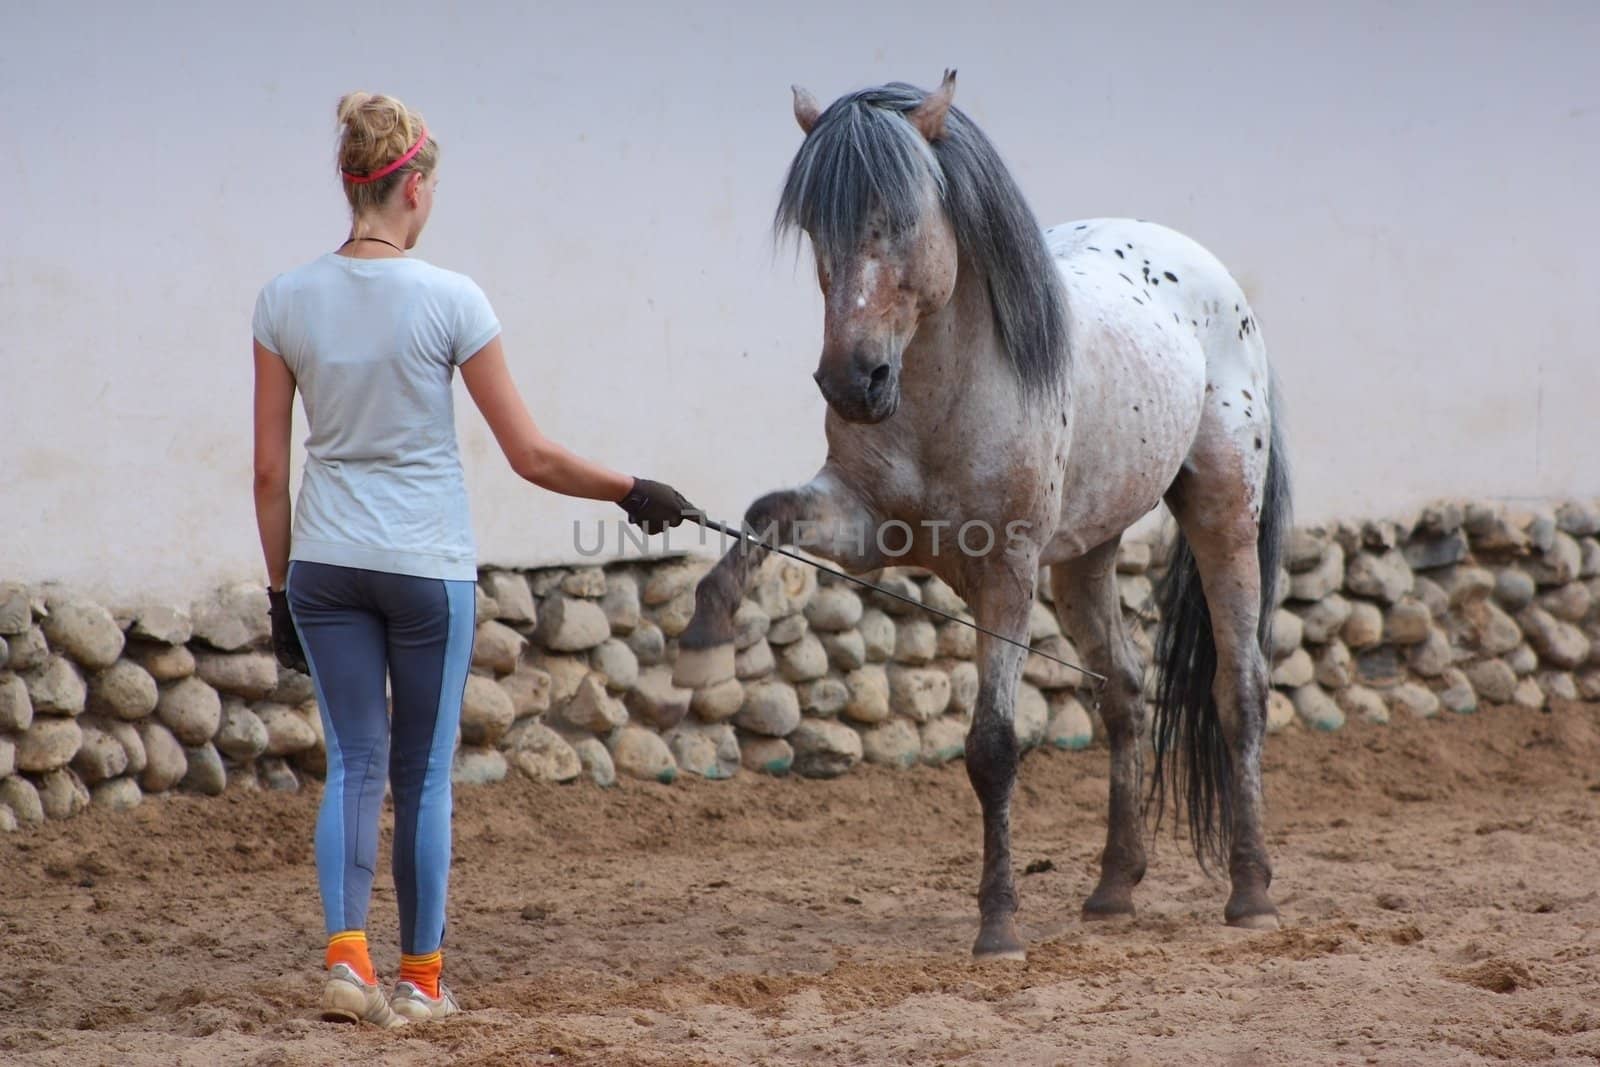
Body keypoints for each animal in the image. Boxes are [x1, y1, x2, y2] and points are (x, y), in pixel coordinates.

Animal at [672, 70, 1286, 966]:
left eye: (905, 216)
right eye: (815, 224)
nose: (852, 383)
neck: (946, 393)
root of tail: (1210, 275)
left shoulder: (1007, 570)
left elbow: (992, 746)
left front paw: (998, 925)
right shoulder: (863, 528)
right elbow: (764, 514)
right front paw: (704, 630)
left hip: (1221, 514)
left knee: (1238, 689)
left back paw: (1251, 892)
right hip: (1085, 557)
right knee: (1124, 693)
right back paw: (1113, 886)